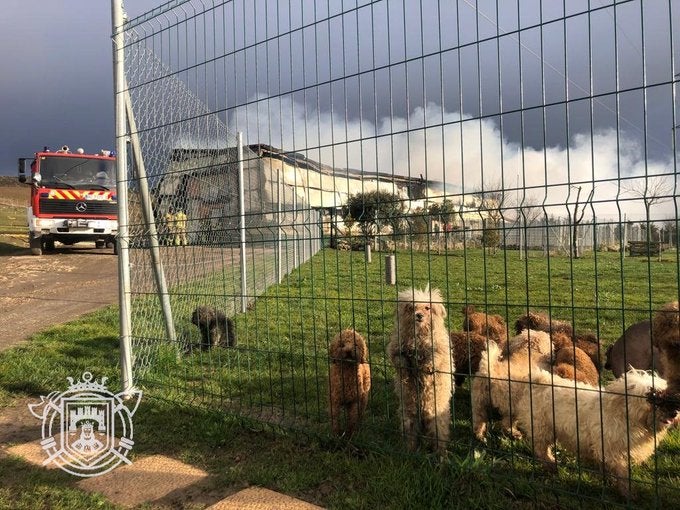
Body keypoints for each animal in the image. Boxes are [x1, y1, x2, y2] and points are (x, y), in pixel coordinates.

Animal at [386, 286, 454, 454]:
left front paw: (425, 369)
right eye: (411, 307)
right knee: (411, 434)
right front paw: (405, 372)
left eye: (427, 308)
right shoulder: (396, 350)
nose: (419, 315)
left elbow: (433, 360)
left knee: (439, 436)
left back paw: (441, 455)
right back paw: (410, 450)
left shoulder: (439, 350)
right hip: (408, 415)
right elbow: (400, 360)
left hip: (436, 416)